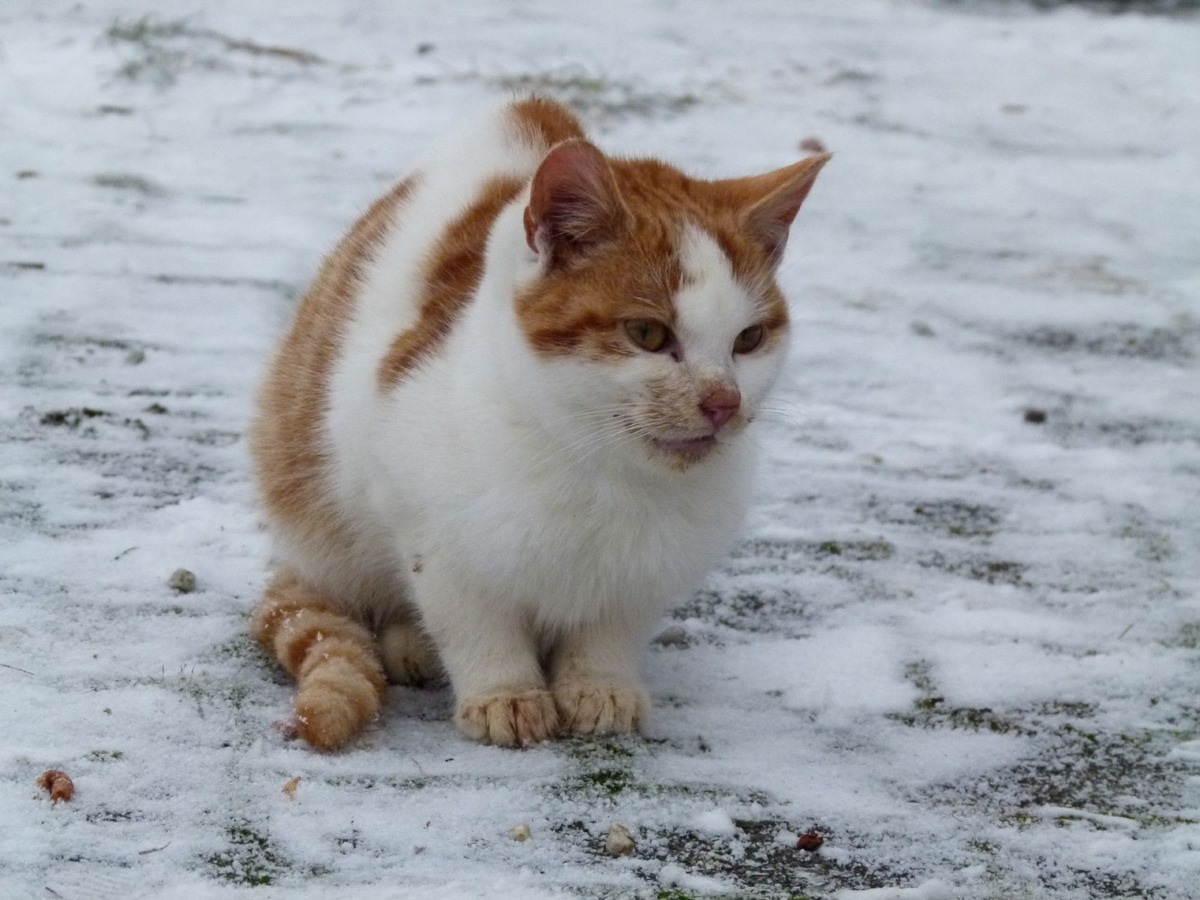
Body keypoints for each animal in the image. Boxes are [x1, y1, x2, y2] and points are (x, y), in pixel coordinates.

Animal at [248, 95, 830, 748]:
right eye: (648, 333)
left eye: (749, 340)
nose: (724, 402)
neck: (596, 466)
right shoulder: (427, 522)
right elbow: (472, 617)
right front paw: (505, 693)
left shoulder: (647, 564)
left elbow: (613, 623)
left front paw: (599, 683)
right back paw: (408, 642)